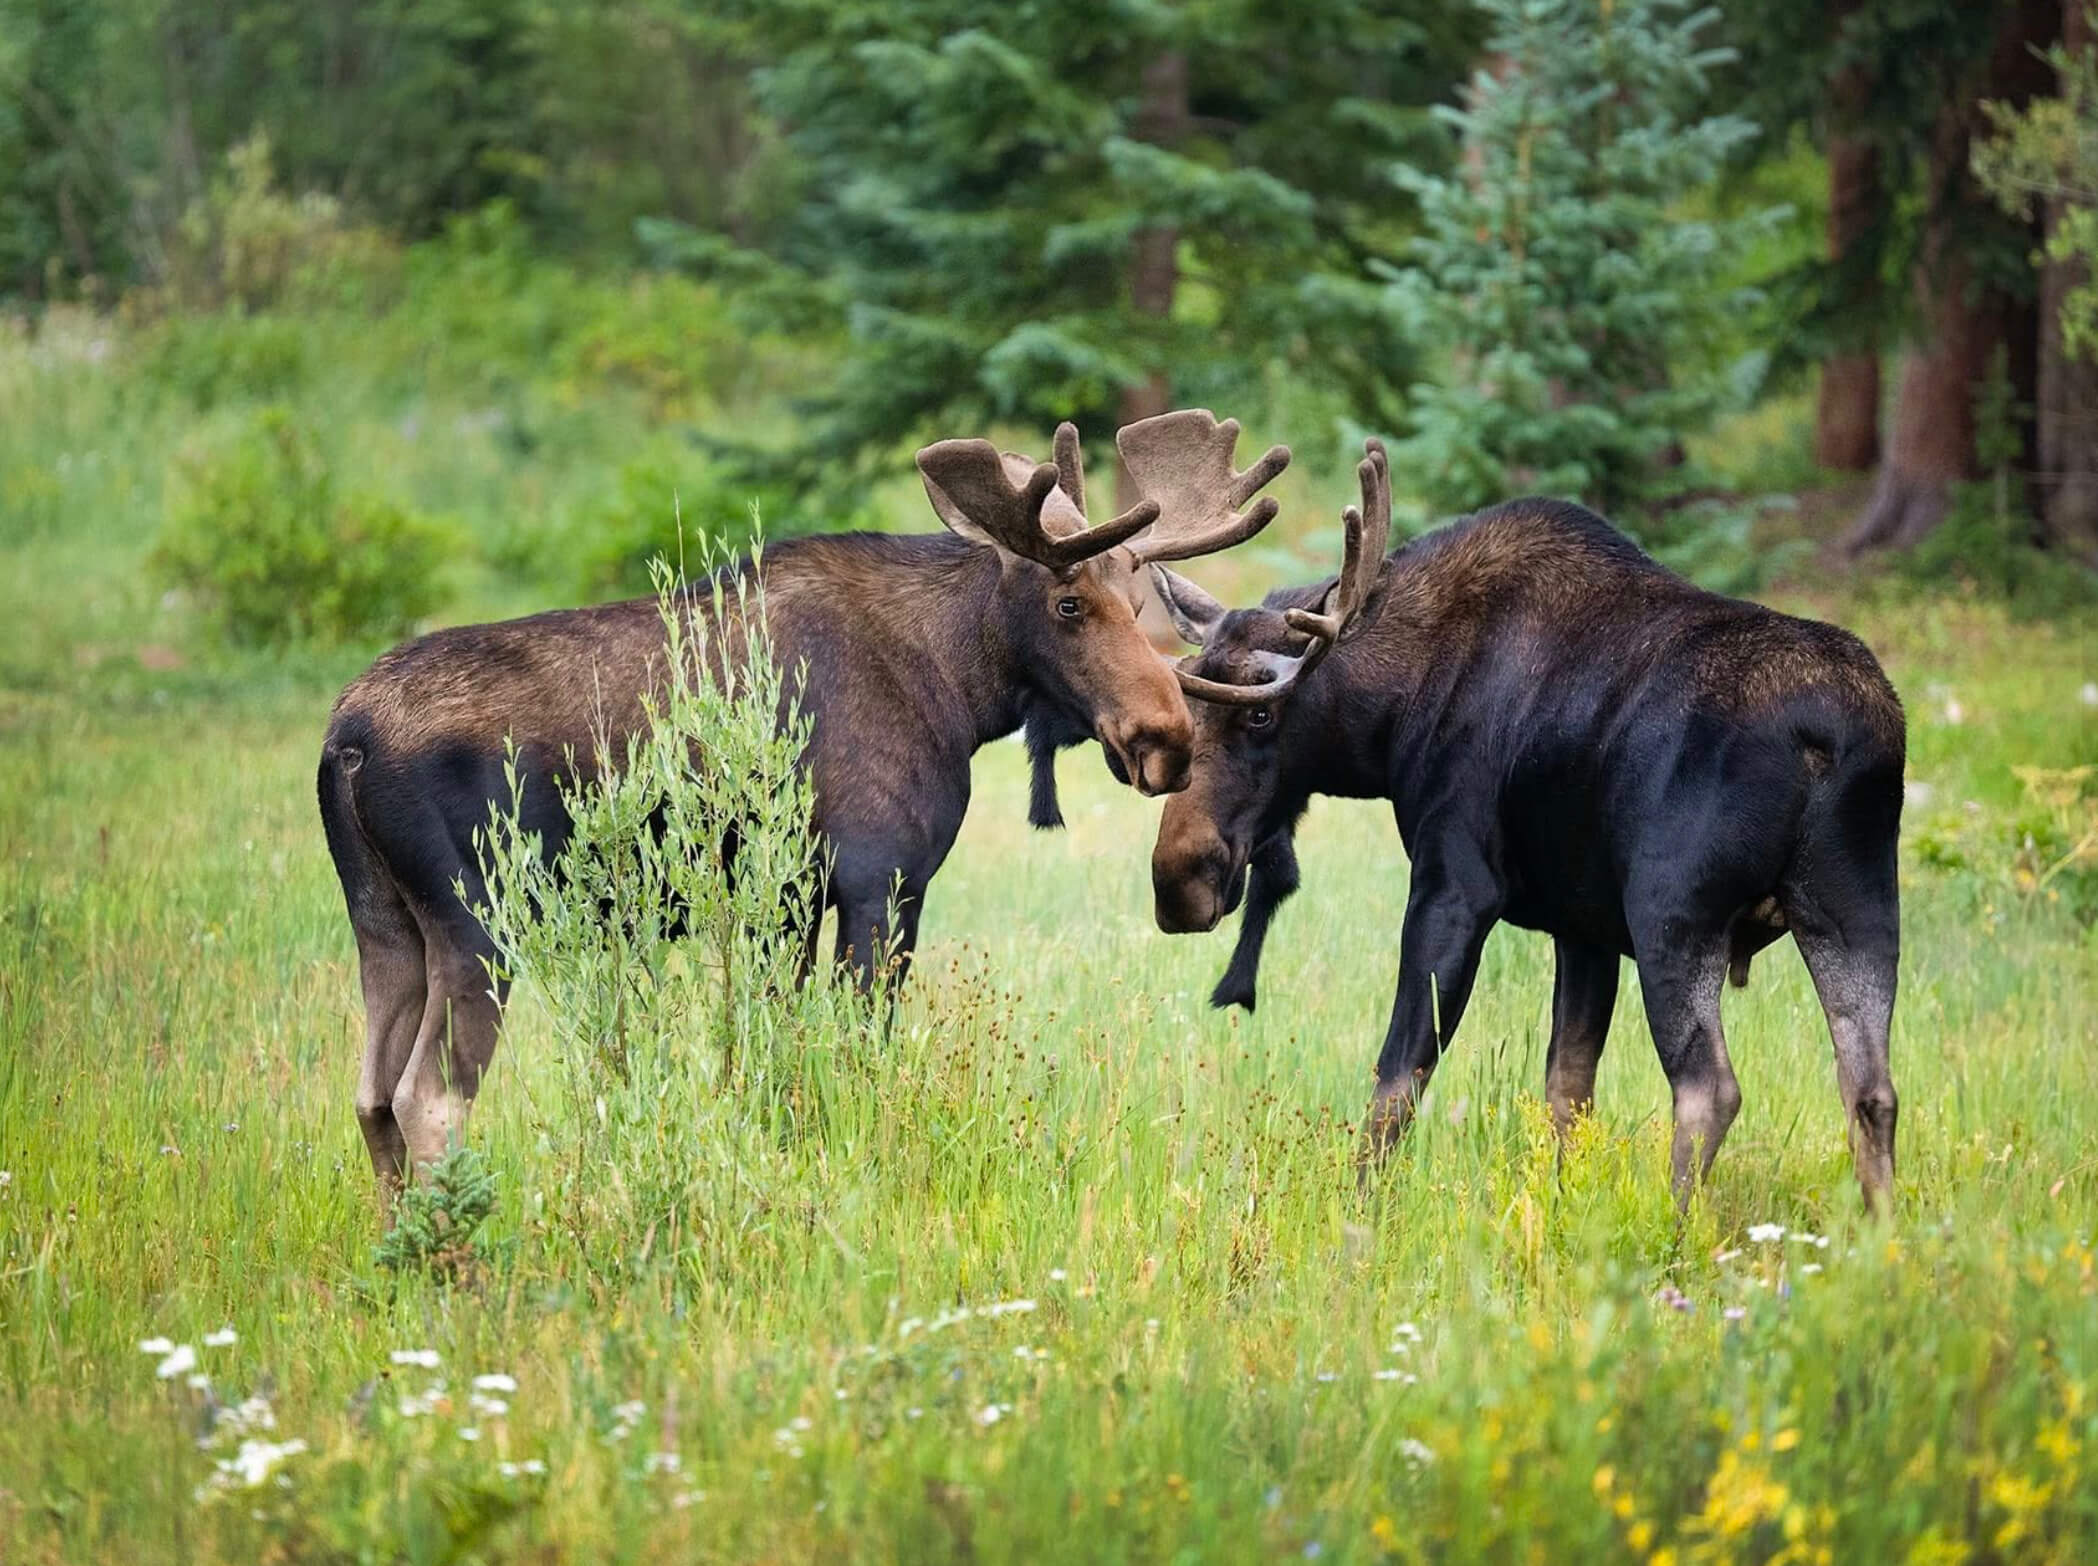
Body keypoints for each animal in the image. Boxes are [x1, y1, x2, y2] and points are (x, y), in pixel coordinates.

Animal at [318, 410, 1290, 1190]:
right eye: (1067, 603)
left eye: (1141, 597)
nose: (1166, 740)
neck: (959, 687)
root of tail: (346, 744)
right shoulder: (880, 878)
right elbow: (859, 1048)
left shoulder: (785, 900)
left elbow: (771, 1051)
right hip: (480, 917)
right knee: (429, 1097)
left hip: (386, 923)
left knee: (370, 1094)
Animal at [1145, 441, 1908, 1213]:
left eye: (1260, 712)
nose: (1177, 879)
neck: (1389, 721)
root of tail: (1828, 738)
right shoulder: (1585, 928)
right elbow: (1567, 1089)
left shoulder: (1456, 884)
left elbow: (1399, 1076)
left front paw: (1359, 1212)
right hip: (1856, 906)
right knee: (1870, 1088)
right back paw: (1880, 1232)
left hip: (1673, 911)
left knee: (1709, 1088)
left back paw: (1676, 1230)